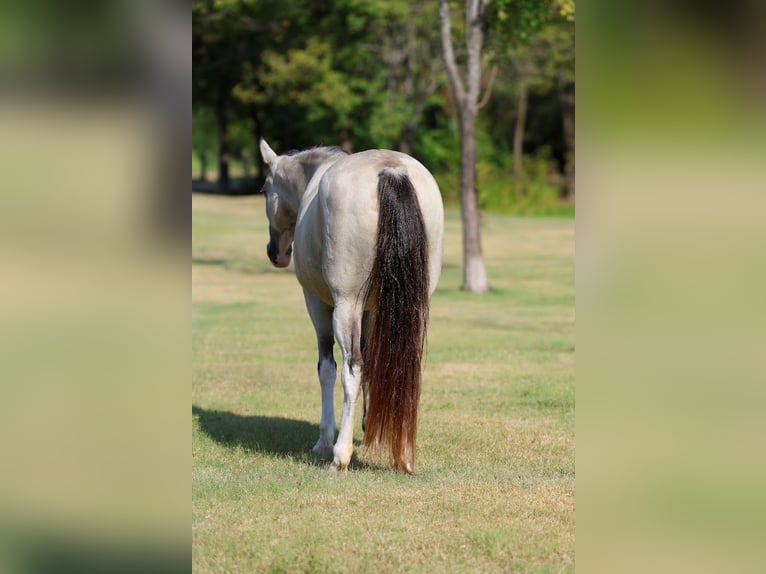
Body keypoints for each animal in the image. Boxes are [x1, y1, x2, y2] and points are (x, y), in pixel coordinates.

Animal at [258, 138, 444, 473]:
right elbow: (376, 365)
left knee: (351, 369)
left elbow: (328, 369)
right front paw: (373, 430)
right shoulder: (373, 311)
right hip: (411, 308)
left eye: (265, 190)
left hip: (345, 306)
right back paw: (403, 453)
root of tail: (391, 171)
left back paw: (340, 455)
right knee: (403, 366)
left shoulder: (318, 305)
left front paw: (324, 439)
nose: (274, 252)